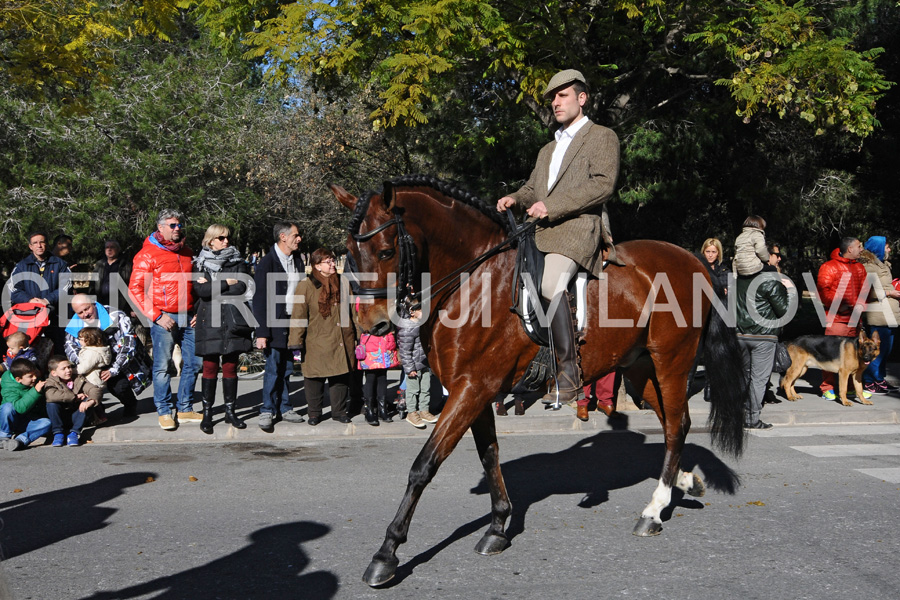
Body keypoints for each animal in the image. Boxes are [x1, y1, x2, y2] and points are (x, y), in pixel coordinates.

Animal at [330, 173, 744, 584]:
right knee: (678, 423)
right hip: (640, 370)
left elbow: (424, 465)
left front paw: (387, 553)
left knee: (675, 425)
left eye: (386, 252)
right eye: (349, 251)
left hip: (670, 362)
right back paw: (683, 483)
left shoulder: (471, 389)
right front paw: (497, 527)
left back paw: (653, 511)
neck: (474, 282)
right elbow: (489, 455)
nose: (371, 324)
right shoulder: (476, 391)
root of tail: (691, 258)